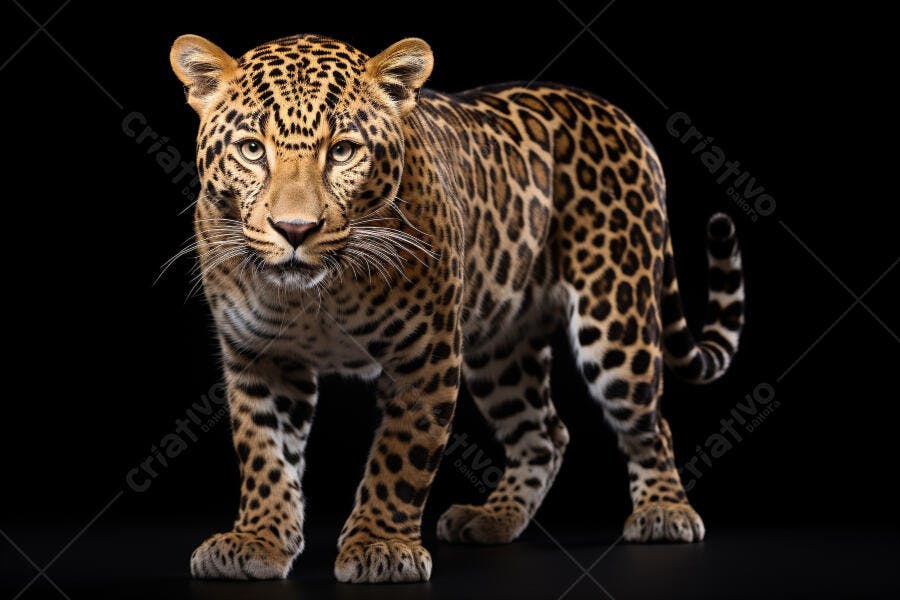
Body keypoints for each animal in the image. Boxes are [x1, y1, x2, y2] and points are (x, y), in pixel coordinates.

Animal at [168, 33, 745, 583]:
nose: (295, 230)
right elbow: (265, 455)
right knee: (543, 433)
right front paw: (258, 540)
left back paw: (665, 512)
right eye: (251, 149)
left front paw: (381, 546)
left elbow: (400, 457)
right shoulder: (261, 357)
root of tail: (618, 115)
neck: (318, 295)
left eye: (343, 151)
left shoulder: (425, 354)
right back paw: (493, 519)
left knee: (648, 422)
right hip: (503, 347)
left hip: (616, 322)